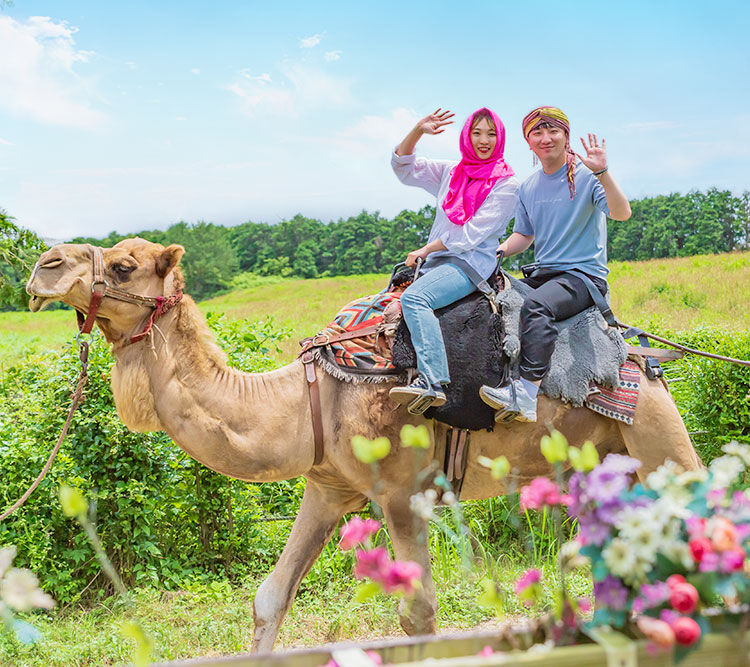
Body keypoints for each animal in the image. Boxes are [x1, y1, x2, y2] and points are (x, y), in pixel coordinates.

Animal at [25, 240, 704, 652]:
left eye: (123, 266)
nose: (44, 263)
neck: (308, 400)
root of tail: (641, 351)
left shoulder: (403, 492)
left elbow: (419, 613)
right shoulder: (327, 487)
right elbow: (269, 598)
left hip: (656, 432)